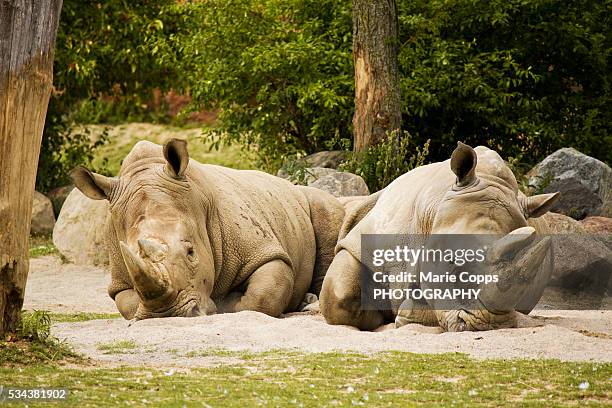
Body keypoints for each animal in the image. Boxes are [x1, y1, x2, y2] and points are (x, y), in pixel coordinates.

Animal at [70, 139, 344, 320]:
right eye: (131, 257)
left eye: (191, 252)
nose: (167, 314)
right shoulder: (119, 279)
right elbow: (127, 305)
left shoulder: (263, 251)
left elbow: (263, 295)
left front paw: (227, 302)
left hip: (311, 198)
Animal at [320, 143, 560, 332]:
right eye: (453, 262)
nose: (488, 325)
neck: (435, 209)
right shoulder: (362, 243)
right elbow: (337, 297)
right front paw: (378, 314)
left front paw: (403, 313)